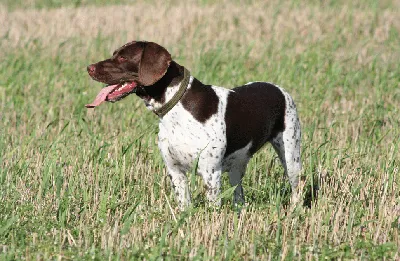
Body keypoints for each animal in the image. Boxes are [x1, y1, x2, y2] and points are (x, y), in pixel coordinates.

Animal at [86, 40, 302, 208]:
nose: (89, 68)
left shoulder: (210, 174)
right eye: (114, 54)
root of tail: (280, 90)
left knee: (297, 190)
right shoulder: (175, 172)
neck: (177, 111)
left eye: (123, 58)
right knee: (239, 196)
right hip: (237, 165)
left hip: (291, 157)